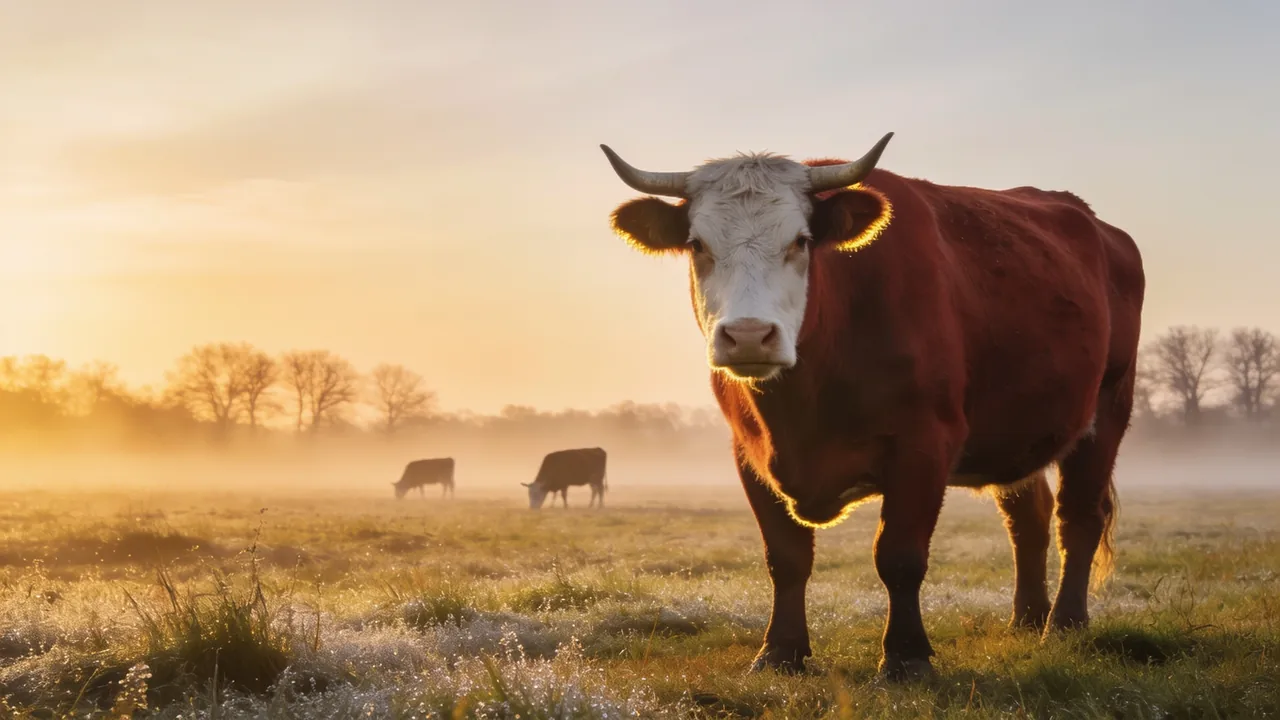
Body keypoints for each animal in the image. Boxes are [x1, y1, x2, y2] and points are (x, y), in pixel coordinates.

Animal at [599, 132, 1145, 681]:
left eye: (801, 241)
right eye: (697, 244)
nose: (749, 335)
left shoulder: (924, 444)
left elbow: (900, 556)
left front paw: (906, 656)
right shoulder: (749, 454)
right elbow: (786, 557)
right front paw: (780, 652)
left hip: (1107, 410)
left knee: (1079, 517)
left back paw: (1065, 624)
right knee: (1028, 518)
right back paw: (1027, 620)